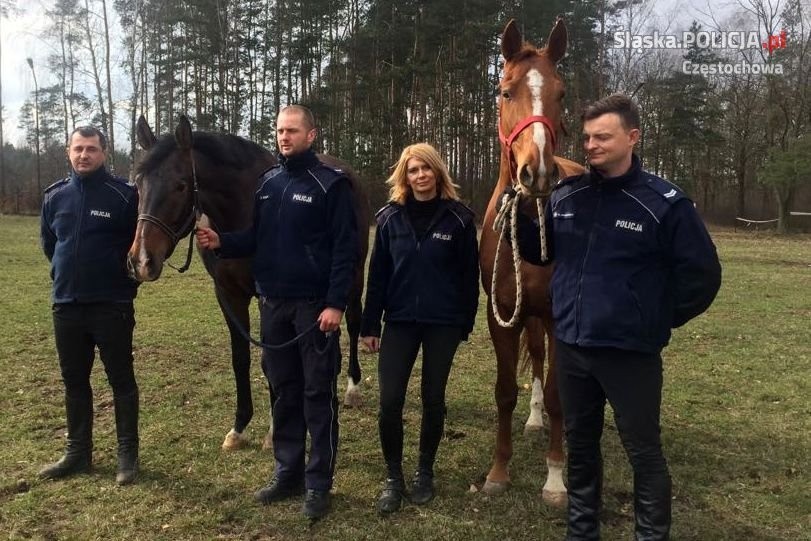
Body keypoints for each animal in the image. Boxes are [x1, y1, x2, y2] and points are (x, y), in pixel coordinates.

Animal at [127, 116, 372, 450]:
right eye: (137, 184)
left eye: (180, 185)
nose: (141, 261)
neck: (243, 210)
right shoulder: (228, 295)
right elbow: (240, 359)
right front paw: (239, 428)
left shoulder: (268, 298)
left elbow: (270, 361)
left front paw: (274, 430)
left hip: (353, 276)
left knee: (353, 323)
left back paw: (352, 389)